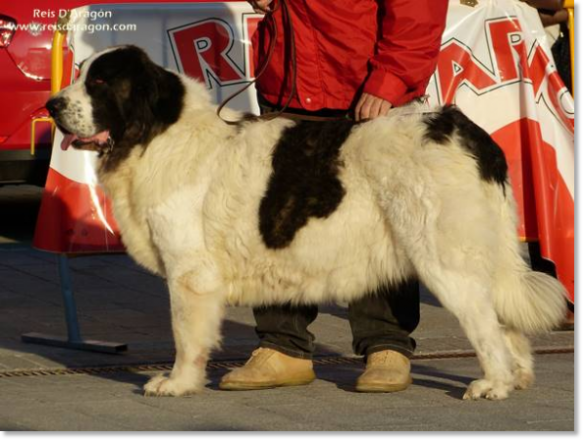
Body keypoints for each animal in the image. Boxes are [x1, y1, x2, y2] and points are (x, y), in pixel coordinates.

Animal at [48, 45, 568, 400]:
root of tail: (463, 130)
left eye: (100, 83)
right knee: (505, 319)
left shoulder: (189, 274)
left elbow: (184, 335)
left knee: (484, 325)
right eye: (80, 75)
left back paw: (493, 383)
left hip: (445, 262)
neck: (156, 134)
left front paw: (178, 382)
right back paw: (517, 377)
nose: (51, 105)